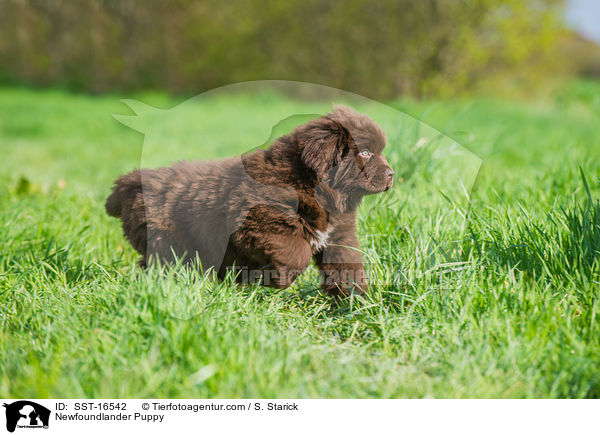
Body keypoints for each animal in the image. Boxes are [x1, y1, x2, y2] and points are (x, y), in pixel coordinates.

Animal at [105, 105, 396, 296]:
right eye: (366, 152)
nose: (392, 174)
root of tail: (129, 184)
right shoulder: (259, 225)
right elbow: (297, 254)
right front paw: (274, 279)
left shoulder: (339, 236)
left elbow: (347, 265)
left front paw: (357, 303)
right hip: (167, 243)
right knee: (162, 268)